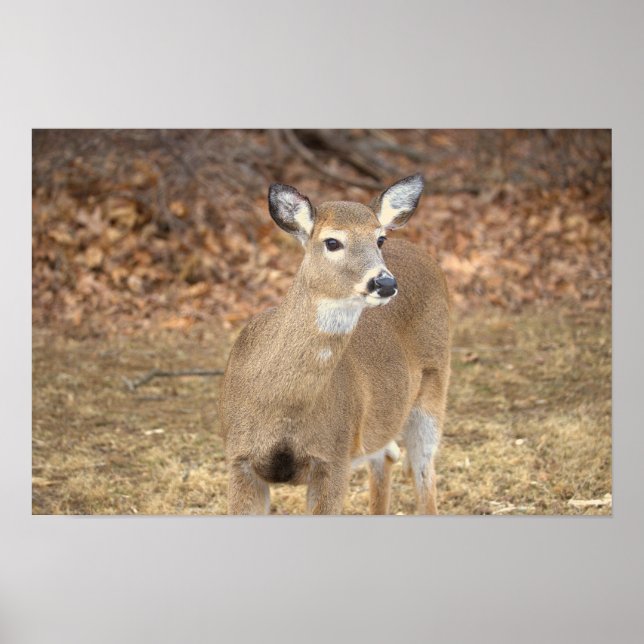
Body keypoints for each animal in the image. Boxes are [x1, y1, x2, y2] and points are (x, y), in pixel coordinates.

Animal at [219, 174, 451, 515]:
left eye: (380, 239)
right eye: (332, 242)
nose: (384, 283)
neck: (282, 409)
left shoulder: (335, 457)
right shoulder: (239, 458)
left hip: (435, 386)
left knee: (423, 471)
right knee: (387, 455)